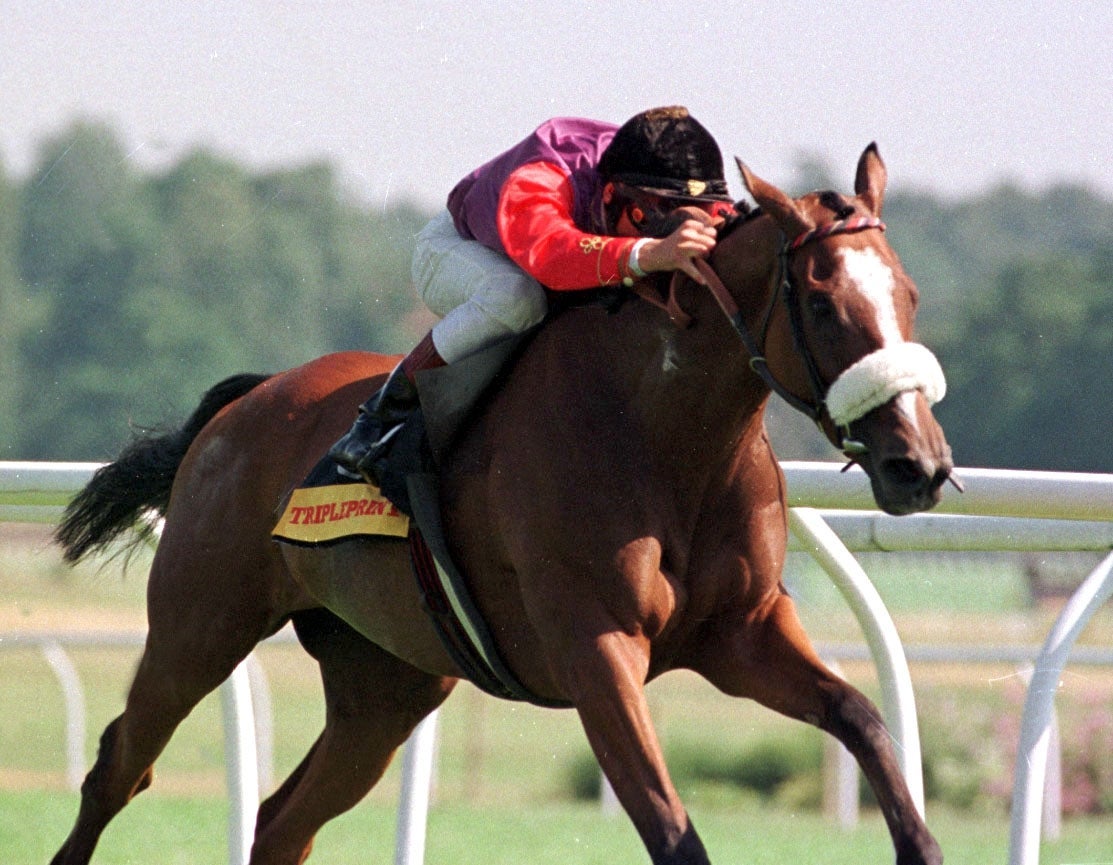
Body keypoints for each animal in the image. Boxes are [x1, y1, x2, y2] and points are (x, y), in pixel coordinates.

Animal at [52, 143, 952, 863]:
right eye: (822, 303)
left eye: (909, 294)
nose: (917, 464)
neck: (662, 435)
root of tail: (245, 403)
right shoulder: (596, 650)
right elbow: (672, 831)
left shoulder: (743, 632)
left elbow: (862, 717)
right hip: (198, 627)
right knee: (119, 770)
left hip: (386, 684)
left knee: (280, 822)